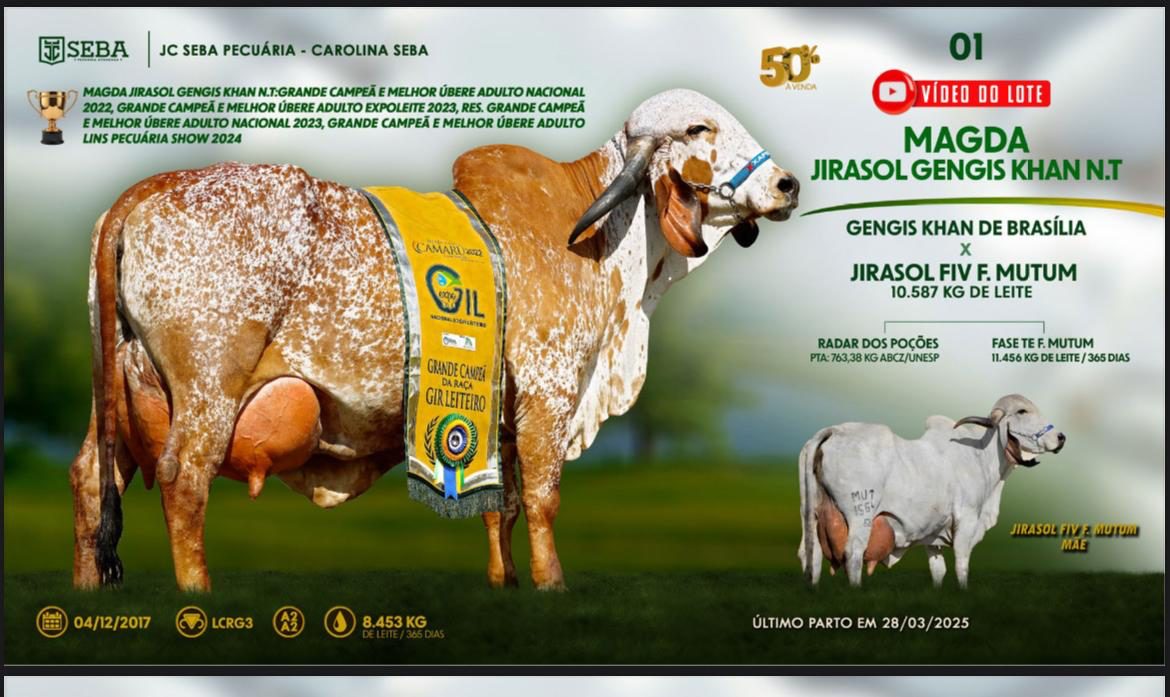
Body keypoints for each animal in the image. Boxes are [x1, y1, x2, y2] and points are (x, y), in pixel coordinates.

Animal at [71, 88, 799, 592]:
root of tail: (148, 187)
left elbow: (500, 505)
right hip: (208, 390)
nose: (787, 183)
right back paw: (199, 592)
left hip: (117, 393)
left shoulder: (499, 418)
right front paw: (553, 584)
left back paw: (89, 590)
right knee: (182, 477)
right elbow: (542, 497)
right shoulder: (549, 391)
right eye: (698, 128)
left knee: (91, 476)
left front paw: (506, 582)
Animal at [797, 394, 1066, 589]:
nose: (1060, 437)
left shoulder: (933, 533)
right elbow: (961, 563)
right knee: (853, 553)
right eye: (1022, 411)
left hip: (811, 515)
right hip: (860, 515)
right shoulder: (966, 519)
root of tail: (834, 430)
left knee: (811, 554)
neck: (980, 454)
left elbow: (938, 570)